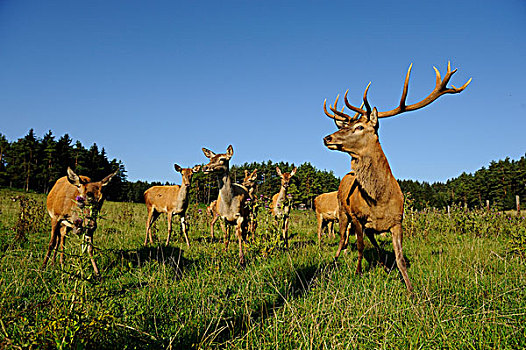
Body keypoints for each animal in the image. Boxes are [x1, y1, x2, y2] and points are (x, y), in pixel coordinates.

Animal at [324, 62, 472, 292]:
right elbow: (359, 247)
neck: (379, 201)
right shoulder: (357, 216)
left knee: (371, 241)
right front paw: (358, 272)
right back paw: (334, 261)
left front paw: (410, 289)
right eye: (346, 126)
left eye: (359, 127)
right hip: (342, 211)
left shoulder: (397, 221)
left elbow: (400, 258)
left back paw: (383, 264)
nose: (327, 138)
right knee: (342, 240)